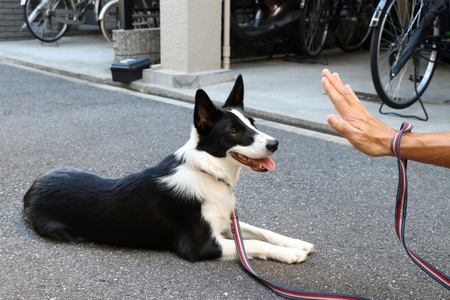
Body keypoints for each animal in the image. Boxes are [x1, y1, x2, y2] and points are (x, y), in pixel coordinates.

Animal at [23, 76, 312, 264]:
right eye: (233, 131)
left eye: (253, 123)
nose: (274, 144)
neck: (207, 170)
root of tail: (32, 189)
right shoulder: (202, 245)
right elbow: (253, 242)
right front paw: (291, 253)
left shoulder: (224, 222)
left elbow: (260, 231)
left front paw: (296, 243)